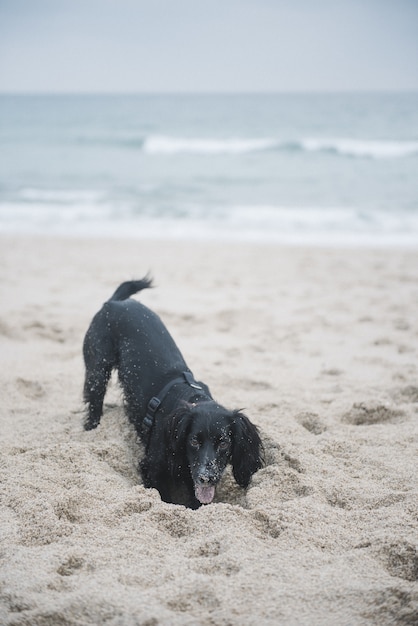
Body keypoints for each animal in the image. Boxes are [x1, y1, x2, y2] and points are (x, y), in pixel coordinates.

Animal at [83, 278, 262, 508]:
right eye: (194, 441)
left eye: (223, 443)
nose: (207, 477)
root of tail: (115, 302)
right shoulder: (152, 468)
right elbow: (163, 496)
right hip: (97, 369)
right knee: (94, 403)